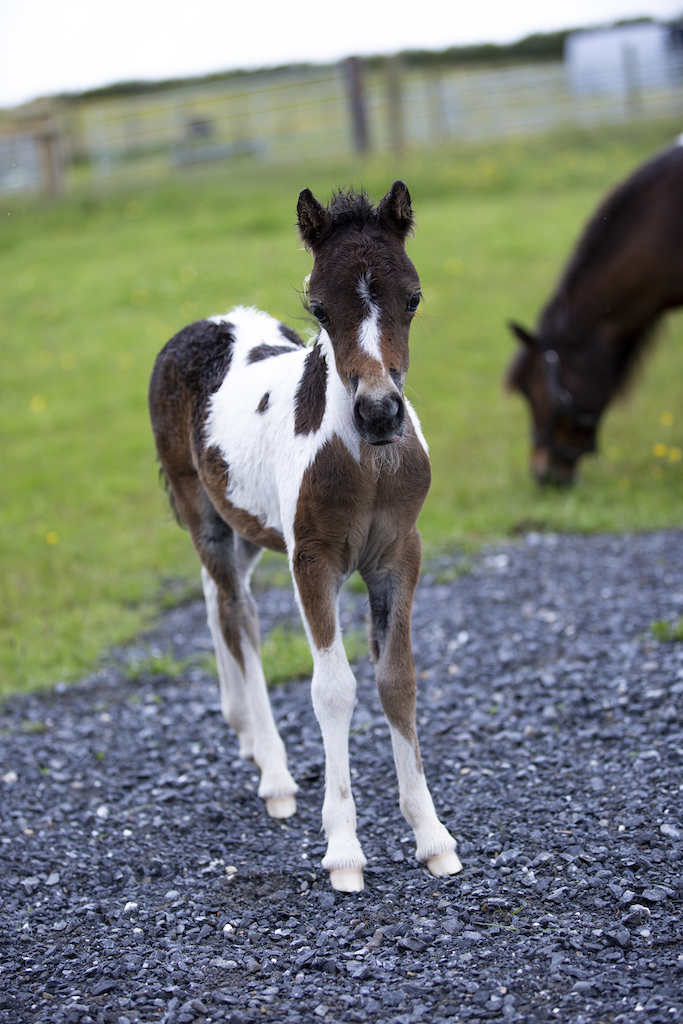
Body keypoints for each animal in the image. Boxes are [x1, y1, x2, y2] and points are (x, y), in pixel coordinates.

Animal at [148, 181, 462, 893]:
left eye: (414, 297)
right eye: (318, 305)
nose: (379, 412)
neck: (365, 461)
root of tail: (208, 322)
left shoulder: (399, 555)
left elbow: (397, 679)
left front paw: (433, 838)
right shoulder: (312, 560)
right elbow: (334, 688)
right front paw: (344, 851)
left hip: (247, 526)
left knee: (220, 604)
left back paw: (242, 730)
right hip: (205, 516)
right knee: (236, 615)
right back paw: (275, 774)